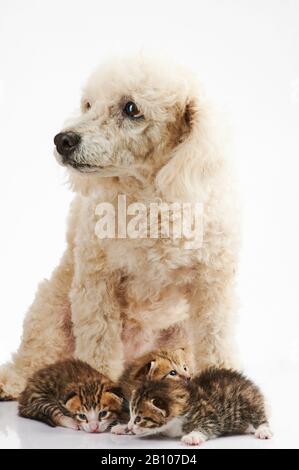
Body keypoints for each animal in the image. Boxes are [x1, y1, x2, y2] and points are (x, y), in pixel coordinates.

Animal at [127, 368, 274, 444]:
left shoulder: (211, 415)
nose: (129, 427)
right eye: (130, 416)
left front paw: (192, 436)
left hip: (249, 400)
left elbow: (208, 426)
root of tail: (247, 381)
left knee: (259, 416)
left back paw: (263, 430)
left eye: (138, 419)